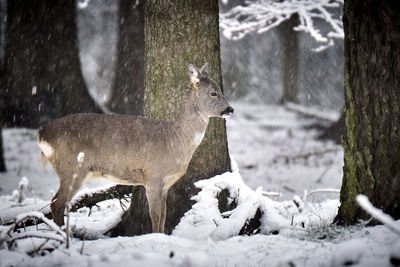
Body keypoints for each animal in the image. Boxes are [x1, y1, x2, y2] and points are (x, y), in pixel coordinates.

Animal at [39, 62, 233, 232]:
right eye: (214, 93)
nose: (231, 109)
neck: (175, 140)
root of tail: (42, 133)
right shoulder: (153, 176)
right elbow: (155, 214)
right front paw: (155, 237)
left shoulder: (165, 184)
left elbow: (163, 215)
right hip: (71, 167)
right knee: (57, 203)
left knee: (55, 202)